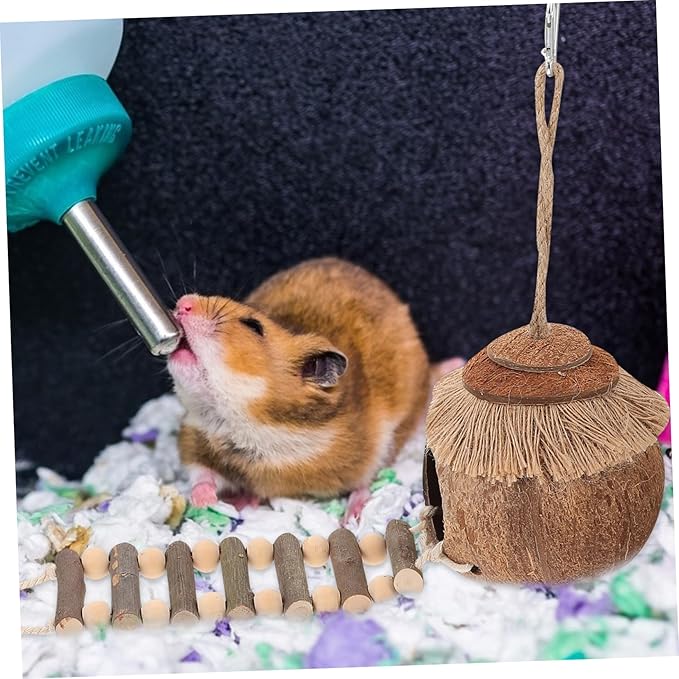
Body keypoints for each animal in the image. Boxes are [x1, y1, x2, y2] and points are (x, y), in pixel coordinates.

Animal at [167, 257, 431, 506]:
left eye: (253, 325)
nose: (183, 304)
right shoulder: (194, 438)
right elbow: (202, 473)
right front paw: (204, 501)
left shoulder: (371, 448)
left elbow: (365, 479)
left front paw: (353, 514)